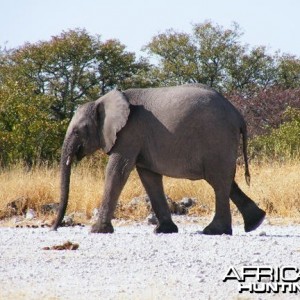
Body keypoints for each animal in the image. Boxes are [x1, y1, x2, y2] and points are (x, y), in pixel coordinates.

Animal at [51, 84, 264, 234]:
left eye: (78, 131)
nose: (53, 227)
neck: (101, 101)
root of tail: (238, 116)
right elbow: (149, 177)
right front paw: (164, 230)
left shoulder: (129, 133)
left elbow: (117, 171)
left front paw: (96, 231)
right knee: (226, 181)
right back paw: (255, 222)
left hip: (217, 138)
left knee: (218, 181)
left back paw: (214, 231)